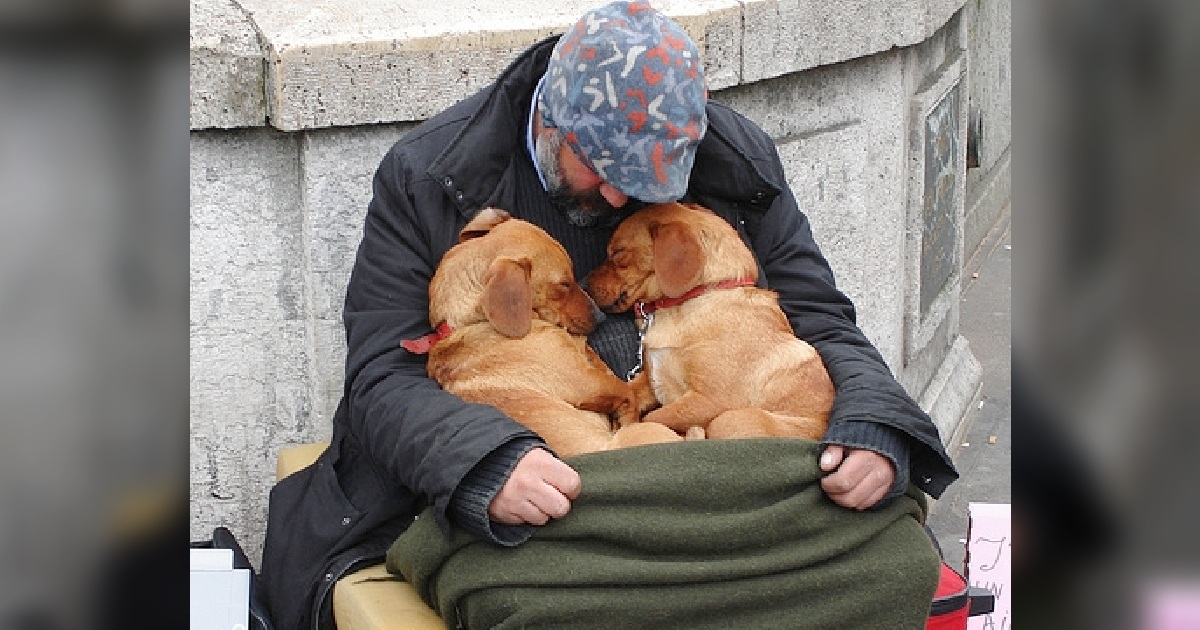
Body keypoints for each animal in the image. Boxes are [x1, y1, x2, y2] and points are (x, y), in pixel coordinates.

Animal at [403, 206, 686, 456]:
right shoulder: (585, 383)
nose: (601, 316)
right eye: (564, 284)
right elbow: (626, 393)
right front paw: (627, 414)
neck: (472, 324)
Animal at [583, 201, 835, 436]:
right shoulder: (651, 377)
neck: (701, 294)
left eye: (618, 252)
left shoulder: (708, 401)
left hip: (730, 419)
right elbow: (627, 390)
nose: (582, 284)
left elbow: (652, 419)